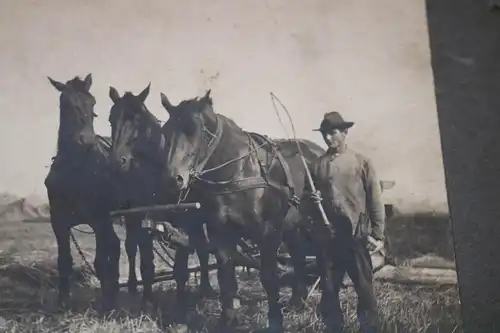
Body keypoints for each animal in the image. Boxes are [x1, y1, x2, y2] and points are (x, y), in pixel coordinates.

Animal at [45, 74, 124, 310]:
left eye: (93, 103)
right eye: (65, 103)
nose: (87, 140)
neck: (76, 170)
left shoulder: (99, 219)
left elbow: (100, 262)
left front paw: (107, 303)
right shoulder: (58, 220)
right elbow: (64, 261)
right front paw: (63, 301)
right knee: (115, 246)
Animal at [106, 84, 216, 308]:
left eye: (138, 120)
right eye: (111, 119)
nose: (117, 162)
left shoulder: (184, 219)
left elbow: (182, 261)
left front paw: (182, 300)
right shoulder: (143, 218)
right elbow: (145, 259)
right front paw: (148, 297)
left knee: (202, 248)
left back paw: (205, 288)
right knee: (131, 247)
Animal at [154, 87, 326, 330]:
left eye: (194, 130)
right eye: (166, 132)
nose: (172, 179)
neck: (239, 172)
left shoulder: (269, 231)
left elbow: (269, 276)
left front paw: (275, 320)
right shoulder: (221, 232)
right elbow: (226, 276)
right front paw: (228, 320)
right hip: (294, 224)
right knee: (298, 254)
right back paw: (297, 300)